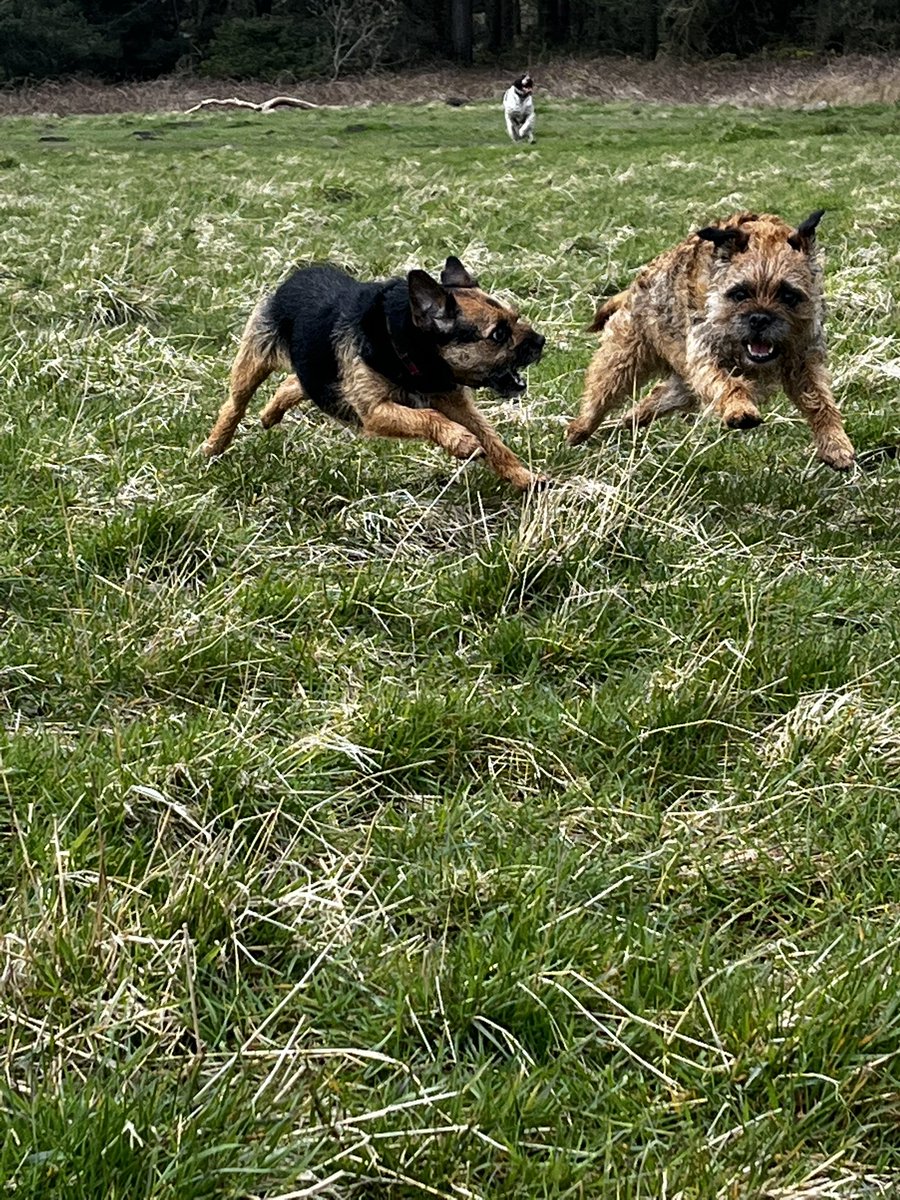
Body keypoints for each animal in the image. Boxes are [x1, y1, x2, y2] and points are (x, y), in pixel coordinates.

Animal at [206, 260, 549, 489]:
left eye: (516, 317)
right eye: (498, 334)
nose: (541, 341)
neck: (407, 347)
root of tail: (297, 276)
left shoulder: (455, 402)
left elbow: (493, 440)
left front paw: (525, 477)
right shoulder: (376, 410)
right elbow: (428, 416)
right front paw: (460, 440)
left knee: (295, 383)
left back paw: (269, 415)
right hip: (254, 359)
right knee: (234, 405)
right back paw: (213, 447)